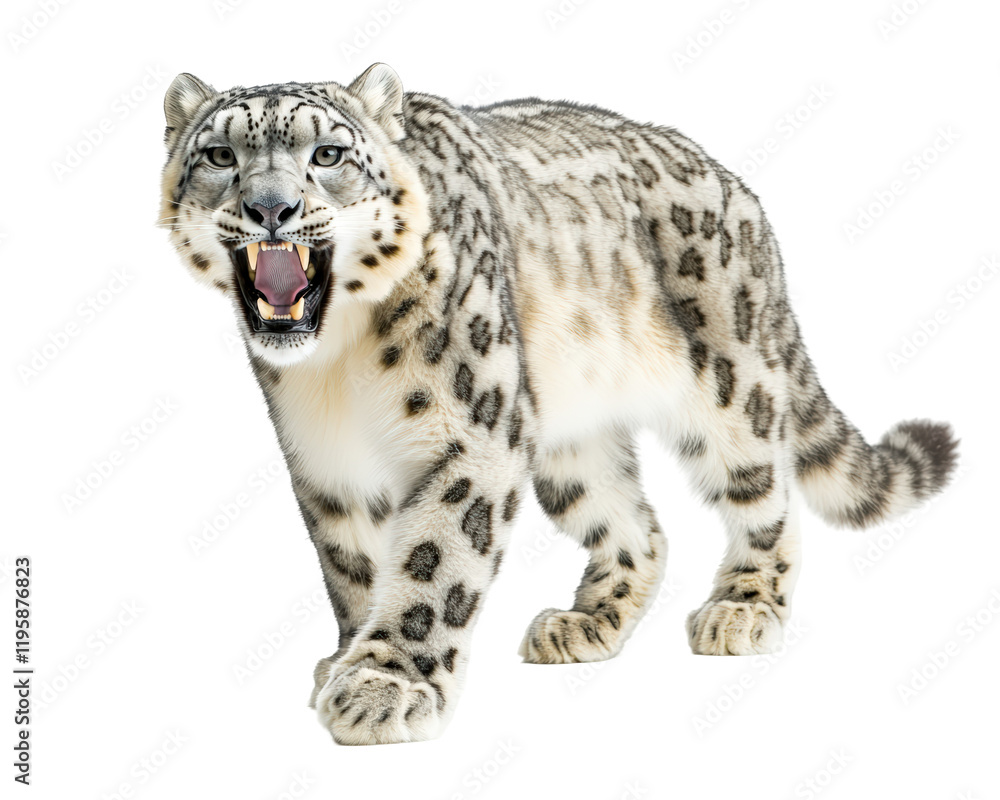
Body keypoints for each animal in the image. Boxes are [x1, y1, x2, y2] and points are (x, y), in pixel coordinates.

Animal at [159, 63, 958, 746]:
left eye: (326, 153)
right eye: (219, 156)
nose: (271, 208)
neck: (337, 361)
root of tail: (741, 194)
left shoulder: (474, 430)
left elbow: (434, 559)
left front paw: (386, 685)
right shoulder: (325, 460)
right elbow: (352, 563)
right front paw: (348, 655)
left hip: (733, 388)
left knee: (768, 496)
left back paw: (743, 608)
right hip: (571, 443)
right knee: (637, 526)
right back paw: (584, 623)